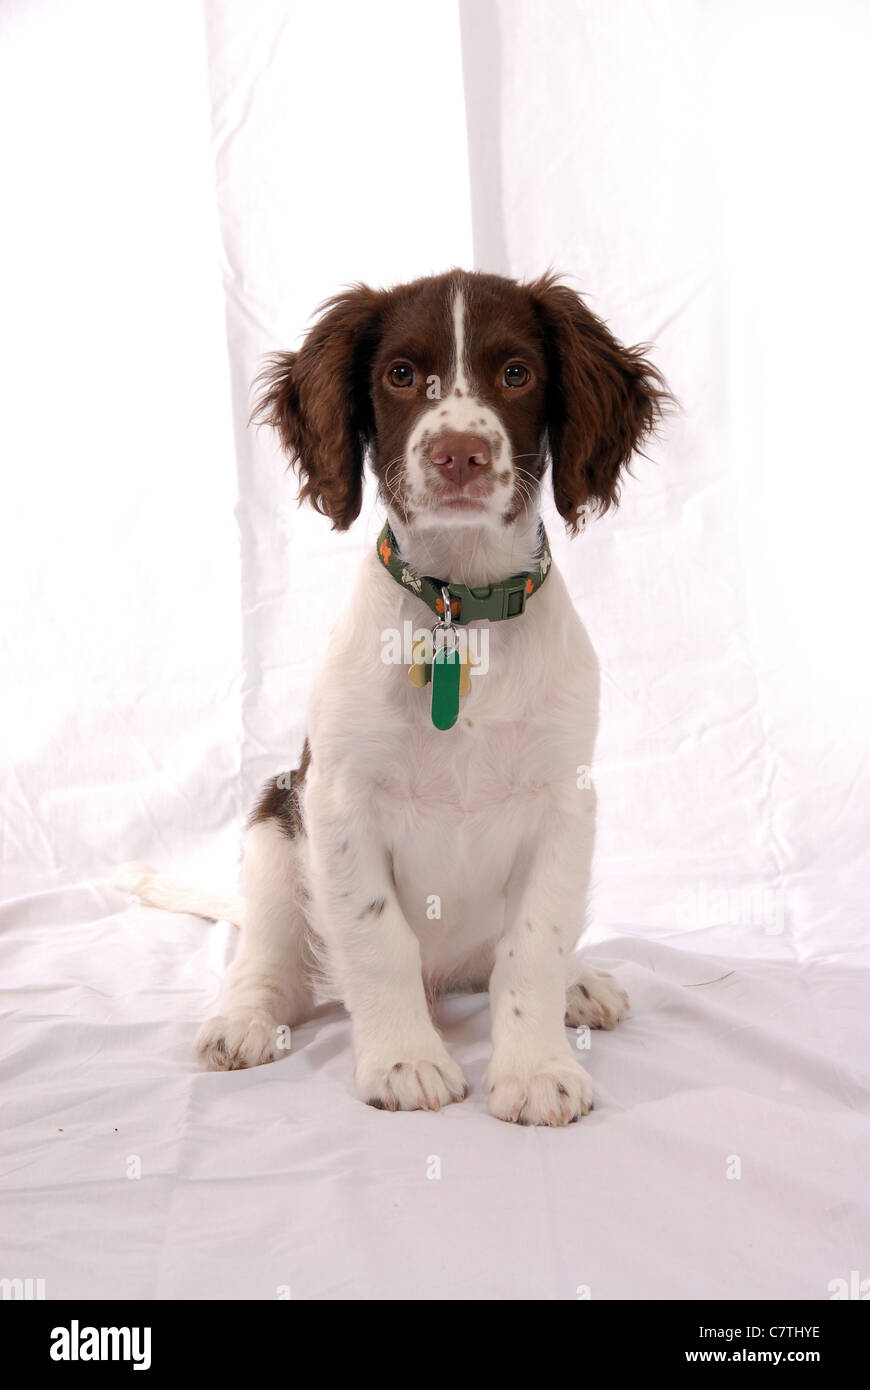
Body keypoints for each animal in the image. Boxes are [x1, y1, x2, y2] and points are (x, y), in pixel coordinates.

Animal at [118, 265, 667, 1123]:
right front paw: (405, 1060)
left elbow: (533, 944)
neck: (461, 613)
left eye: (517, 373)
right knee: (269, 961)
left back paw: (581, 984)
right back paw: (245, 1020)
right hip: (274, 824)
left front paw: (537, 1066)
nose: (458, 454)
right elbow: (377, 942)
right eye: (402, 375)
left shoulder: (566, 802)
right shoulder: (338, 798)